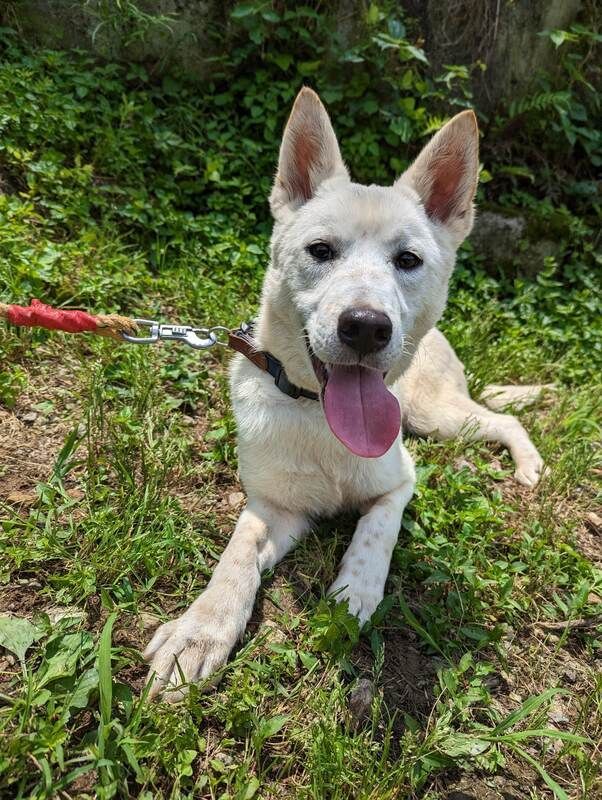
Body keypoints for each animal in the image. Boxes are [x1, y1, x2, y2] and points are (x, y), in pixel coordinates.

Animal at [145, 86, 544, 700]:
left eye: (408, 260)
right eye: (321, 250)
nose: (366, 327)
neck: (321, 419)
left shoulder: (401, 482)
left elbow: (376, 531)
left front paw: (355, 590)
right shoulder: (273, 508)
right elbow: (236, 555)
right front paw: (200, 631)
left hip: (436, 418)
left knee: (504, 420)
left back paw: (527, 465)